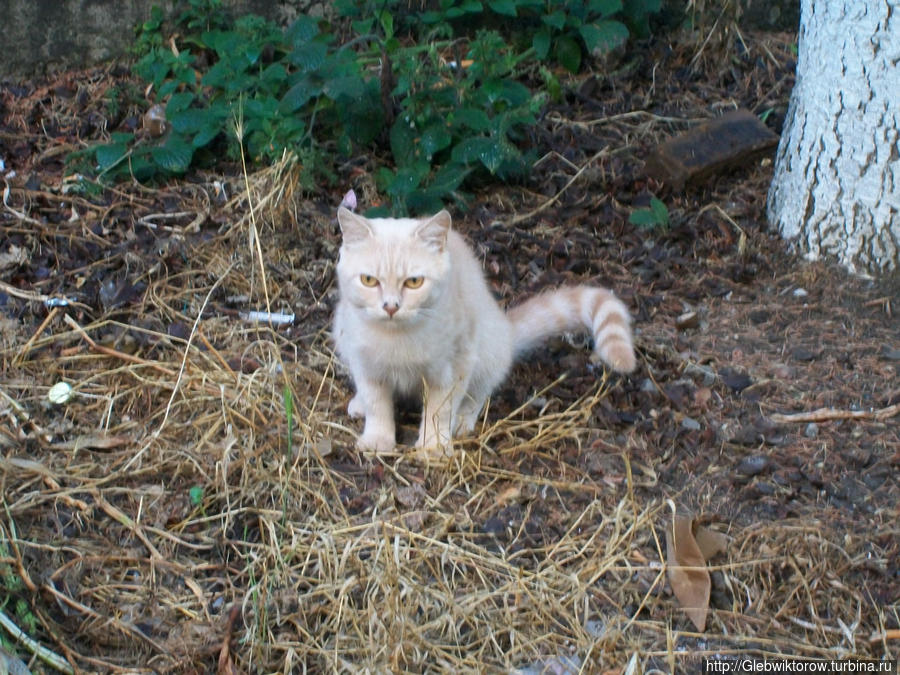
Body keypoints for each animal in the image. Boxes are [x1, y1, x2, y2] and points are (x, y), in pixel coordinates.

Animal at [334, 209, 636, 462]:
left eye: (414, 282)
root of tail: (505, 326)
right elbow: (377, 403)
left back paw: (463, 420)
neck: (398, 338)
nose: (391, 306)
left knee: (480, 392)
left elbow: (440, 409)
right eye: (369, 280)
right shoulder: (364, 362)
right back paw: (359, 404)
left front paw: (434, 446)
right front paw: (378, 439)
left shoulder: (457, 363)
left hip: (488, 351)